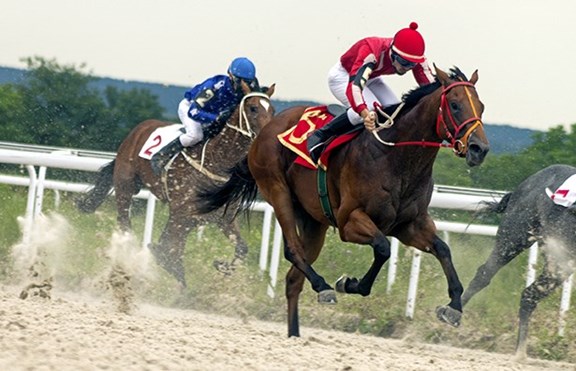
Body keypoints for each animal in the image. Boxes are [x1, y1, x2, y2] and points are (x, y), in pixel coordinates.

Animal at [77, 83, 276, 288]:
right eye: (253, 108)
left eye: (273, 110)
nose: (268, 138)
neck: (215, 161)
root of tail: (138, 129)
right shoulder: (181, 215)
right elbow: (170, 254)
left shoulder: (221, 219)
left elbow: (241, 248)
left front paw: (221, 266)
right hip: (125, 186)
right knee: (125, 222)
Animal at [198, 66, 490, 338]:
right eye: (455, 105)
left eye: (482, 106)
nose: (479, 149)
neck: (396, 158)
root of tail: (267, 128)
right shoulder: (350, 222)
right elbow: (383, 248)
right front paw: (348, 283)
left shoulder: (410, 226)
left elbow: (443, 249)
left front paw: (453, 307)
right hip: (277, 191)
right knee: (293, 250)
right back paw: (324, 287)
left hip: (314, 221)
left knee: (293, 279)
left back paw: (295, 333)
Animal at [464, 165, 576, 360]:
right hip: (514, 236)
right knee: (485, 274)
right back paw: (450, 313)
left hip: (559, 262)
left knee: (530, 295)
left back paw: (521, 352)